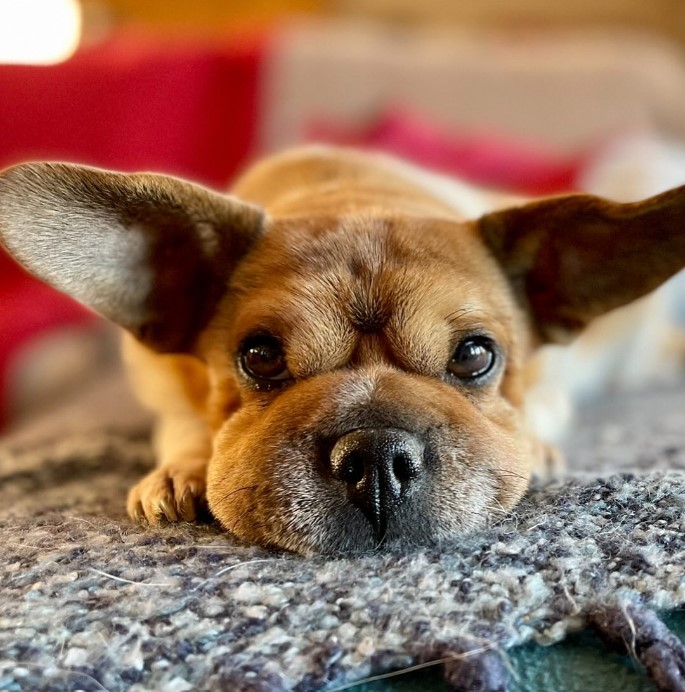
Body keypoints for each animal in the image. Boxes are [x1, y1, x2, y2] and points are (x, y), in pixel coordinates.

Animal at [1, 147, 684, 556]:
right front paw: (186, 466)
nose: (376, 457)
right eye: (260, 356)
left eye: (473, 356)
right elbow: (182, 425)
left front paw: (535, 448)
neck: (356, 193)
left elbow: (537, 411)